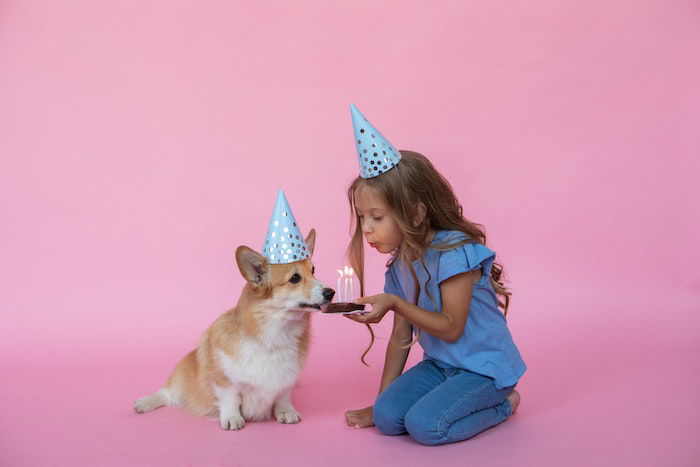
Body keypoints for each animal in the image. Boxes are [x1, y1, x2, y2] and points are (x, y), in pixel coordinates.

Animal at [137, 230, 336, 432]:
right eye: (295, 278)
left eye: (313, 270)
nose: (331, 292)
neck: (278, 332)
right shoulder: (224, 381)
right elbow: (229, 400)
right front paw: (232, 418)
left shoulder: (287, 380)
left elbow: (283, 397)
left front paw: (286, 412)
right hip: (179, 383)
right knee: (166, 394)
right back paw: (144, 403)